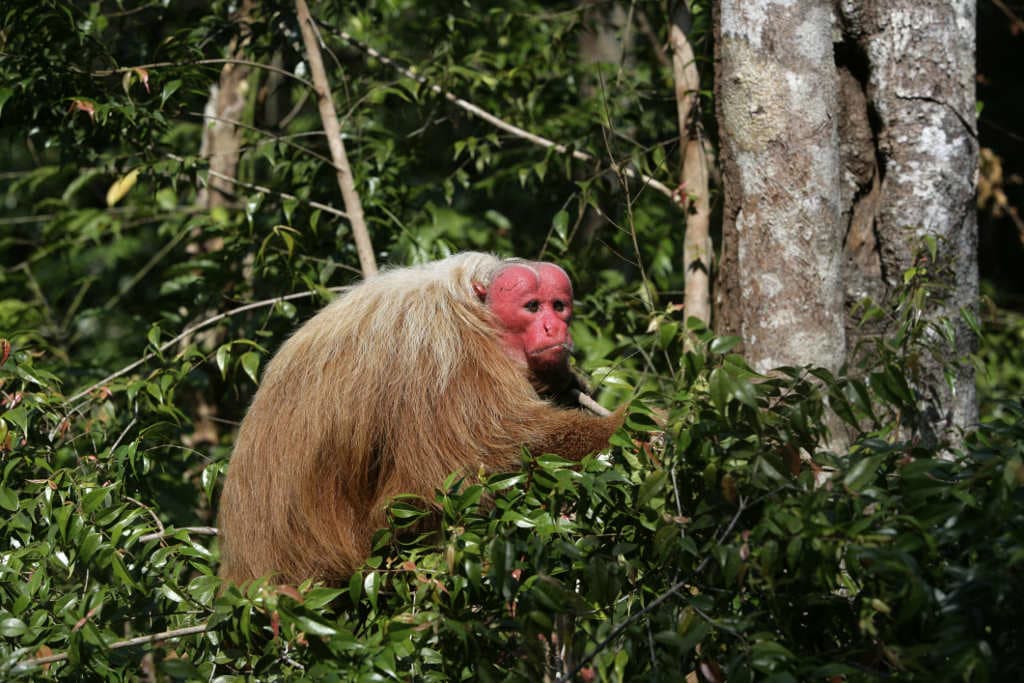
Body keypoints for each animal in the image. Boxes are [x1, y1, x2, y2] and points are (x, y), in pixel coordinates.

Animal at [217, 252, 625, 585]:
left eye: (558, 306)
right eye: (531, 307)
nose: (554, 328)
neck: (476, 312)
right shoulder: (446, 349)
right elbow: (477, 464)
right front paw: (626, 426)